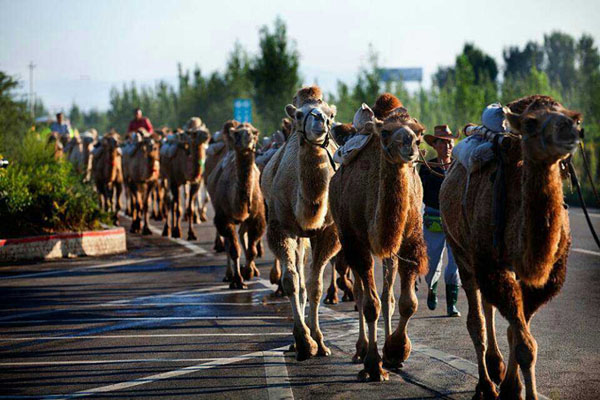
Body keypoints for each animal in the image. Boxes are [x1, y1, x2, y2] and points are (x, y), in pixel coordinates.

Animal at [206, 121, 264, 288]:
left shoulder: (257, 218)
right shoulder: (224, 218)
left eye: (255, 132)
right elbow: (233, 249)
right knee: (228, 242)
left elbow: (252, 250)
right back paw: (229, 275)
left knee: (243, 235)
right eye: (237, 133)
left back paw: (251, 269)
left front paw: (249, 271)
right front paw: (238, 280)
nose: (249, 138)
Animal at [260, 86, 340, 360]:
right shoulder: (280, 228)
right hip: (295, 235)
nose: (320, 120)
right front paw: (304, 342)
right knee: (296, 275)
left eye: (331, 114)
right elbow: (290, 282)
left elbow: (315, 285)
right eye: (299, 115)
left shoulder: (327, 232)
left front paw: (320, 341)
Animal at [330, 93, 428, 382]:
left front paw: (396, 352)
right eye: (384, 132)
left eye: (419, 133)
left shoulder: (408, 242)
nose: (409, 144)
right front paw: (374, 365)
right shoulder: (356, 243)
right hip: (347, 238)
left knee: (388, 297)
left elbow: (407, 303)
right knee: (361, 294)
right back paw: (361, 350)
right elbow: (369, 303)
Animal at [440, 94, 580, 400]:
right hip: (460, 250)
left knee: (490, 309)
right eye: (530, 123)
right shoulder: (490, 264)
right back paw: (486, 384)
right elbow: (523, 342)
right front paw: (510, 390)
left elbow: (518, 333)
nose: (572, 131)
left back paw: (497, 368)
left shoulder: (547, 279)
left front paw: (513, 388)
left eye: (568, 114)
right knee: (476, 320)